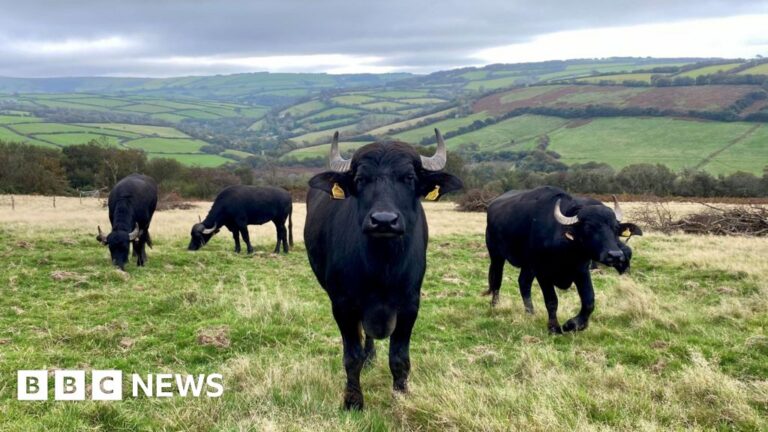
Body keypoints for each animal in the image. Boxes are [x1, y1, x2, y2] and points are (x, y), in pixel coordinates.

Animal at [304, 130, 462, 409]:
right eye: (360, 179)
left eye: (409, 177)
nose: (384, 221)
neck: (382, 266)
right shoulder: (342, 305)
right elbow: (351, 356)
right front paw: (353, 401)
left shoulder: (410, 305)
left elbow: (399, 358)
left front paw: (401, 395)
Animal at [485, 186, 642, 333]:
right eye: (589, 227)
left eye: (615, 227)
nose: (615, 255)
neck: (567, 252)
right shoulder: (543, 272)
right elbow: (552, 300)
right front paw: (554, 327)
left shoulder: (581, 270)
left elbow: (589, 300)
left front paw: (572, 324)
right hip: (496, 255)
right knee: (497, 279)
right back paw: (495, 305)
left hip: (528, 266)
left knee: (523, 282)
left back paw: (530, 312)